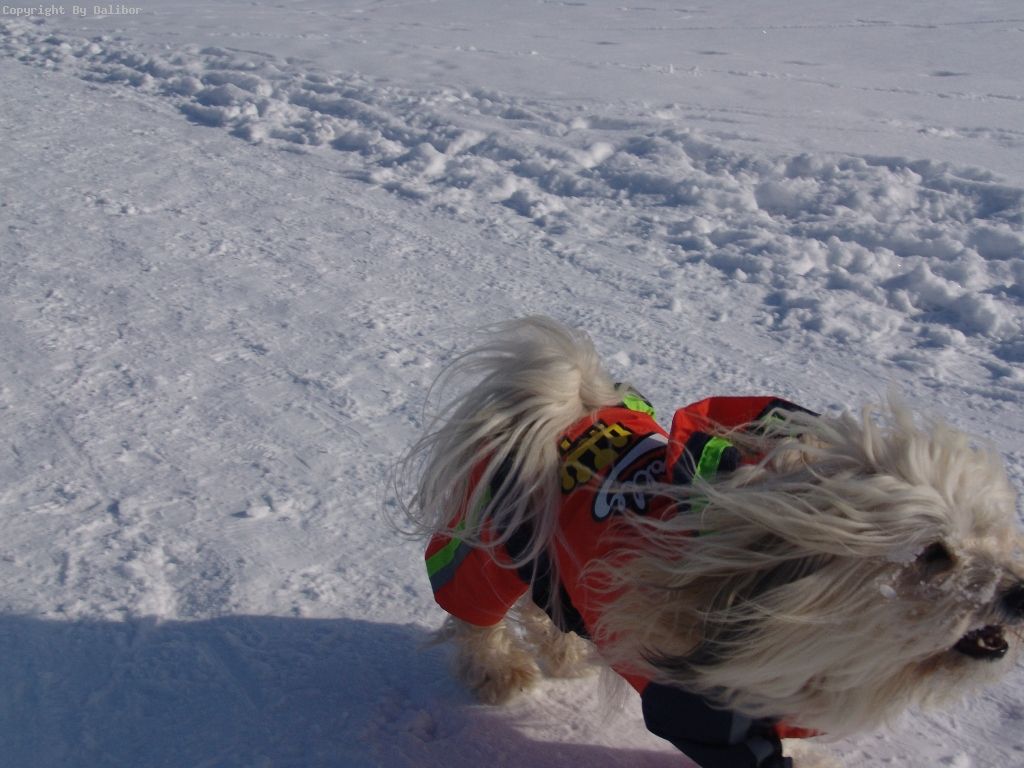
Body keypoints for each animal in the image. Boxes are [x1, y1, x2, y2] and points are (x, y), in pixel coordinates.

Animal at [396, 316, 1023, 768]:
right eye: (934, 554)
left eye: (996, 536)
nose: (1019, 593)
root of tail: (567, 409)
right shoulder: (705, 716)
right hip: (486, 553)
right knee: (476, 619)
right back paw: (499, 674)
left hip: (549, 563)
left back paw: (566, 654)